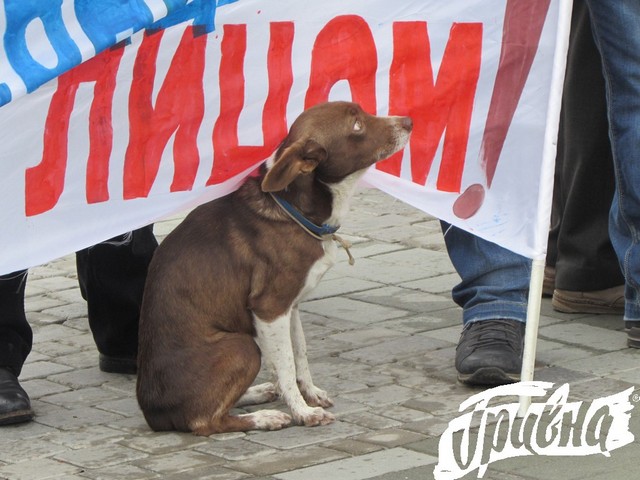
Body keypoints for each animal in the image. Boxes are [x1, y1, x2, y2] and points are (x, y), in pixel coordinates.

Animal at [137, 101, 412, 436]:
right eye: (357, 126)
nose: (409, 121)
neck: (294, 208)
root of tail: (155, 416)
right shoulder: (269, 308)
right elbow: (286, 363)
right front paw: (302, 412)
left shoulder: (290, 307)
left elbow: (299, 354)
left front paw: (310, 395)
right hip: (241, 346)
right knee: (206, 419)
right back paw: (264, 417)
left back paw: (259, 392)